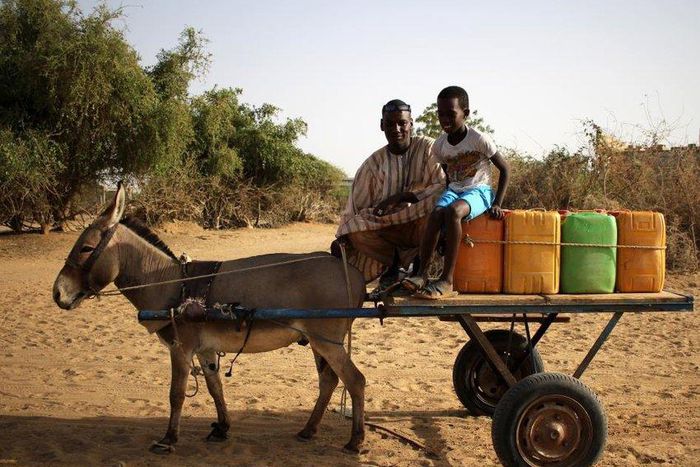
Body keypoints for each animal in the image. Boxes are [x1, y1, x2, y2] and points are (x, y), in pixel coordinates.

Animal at [52, 183, 367, 454]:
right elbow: (215, 388)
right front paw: (222, 428)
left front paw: (168, 439)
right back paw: (308, 430)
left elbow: (176, 393)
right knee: (329, 380)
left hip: (326, 340)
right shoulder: (205, 349)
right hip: (318, 341)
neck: (171, 283)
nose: (57, 294)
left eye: (85, 248)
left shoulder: (180, 348)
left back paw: (354, 441)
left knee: (355, 380)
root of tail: (354, 274)